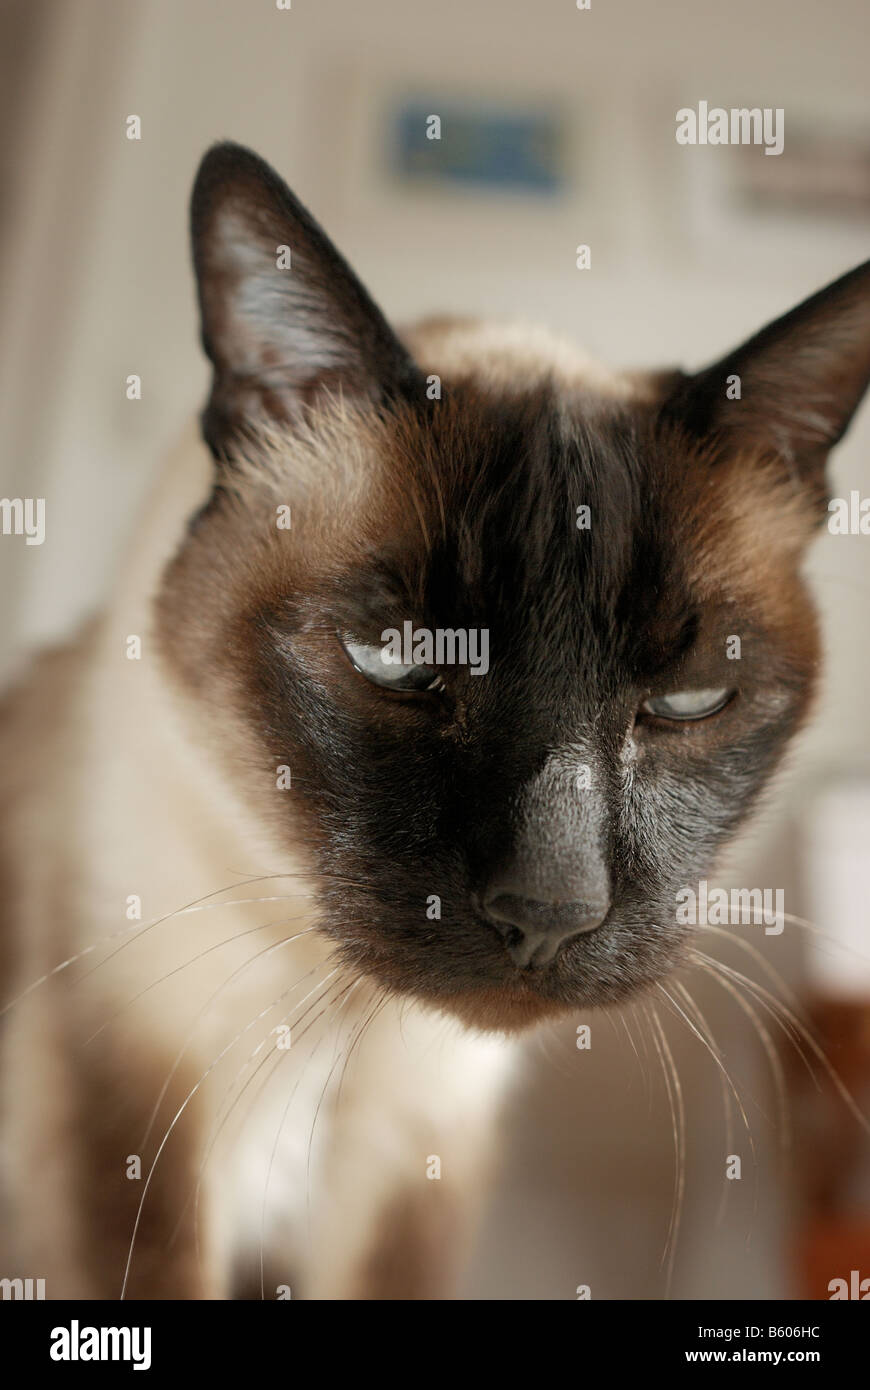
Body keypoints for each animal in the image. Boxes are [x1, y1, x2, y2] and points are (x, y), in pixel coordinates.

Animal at [1, 138, 867, 1289]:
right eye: (401, 662)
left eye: (687, 702)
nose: (550, 909)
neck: (338, 1016)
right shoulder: (123, 1106)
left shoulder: (417, 1152)